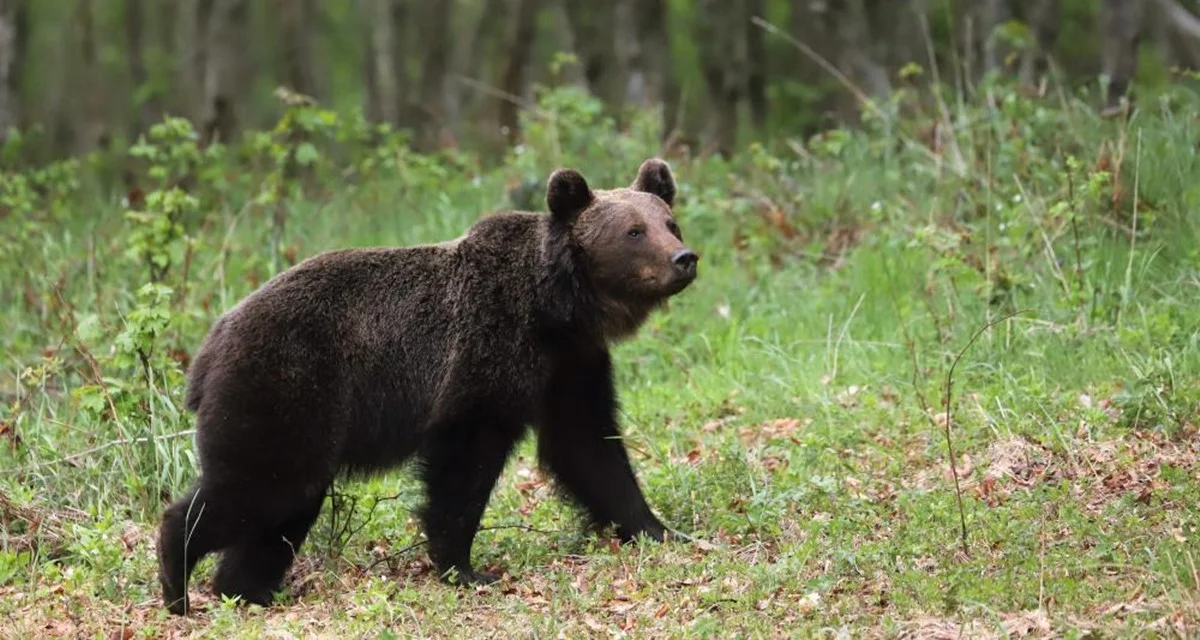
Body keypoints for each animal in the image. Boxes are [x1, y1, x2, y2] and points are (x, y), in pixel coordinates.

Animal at [159, 156, 700, 614]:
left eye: (668, 222)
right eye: (634, 231)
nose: (684, 257)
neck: (557, 307)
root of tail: (209, 346)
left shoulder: (570, 365)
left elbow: (590, 448)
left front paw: (661, 530)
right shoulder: (487, 351)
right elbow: (464, 460)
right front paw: (466, 567)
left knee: (285, 506)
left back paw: (246, 589)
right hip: (284, 384)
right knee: (257, 485)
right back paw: (177, 578)